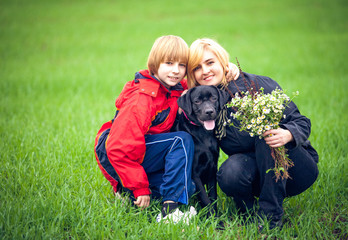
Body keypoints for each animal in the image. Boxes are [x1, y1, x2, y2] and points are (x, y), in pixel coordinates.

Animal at [174, 85, 228, 216]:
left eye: (214, 98)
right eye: (197, 101)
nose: (209, 112)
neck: (204, 134)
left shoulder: (212, 168)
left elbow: (212, 196)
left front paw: (215, 216)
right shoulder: (194, 173)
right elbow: (205, 197)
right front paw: (213, 218)